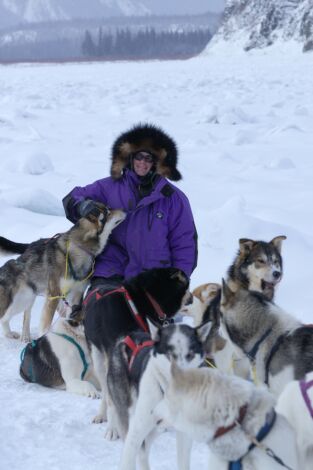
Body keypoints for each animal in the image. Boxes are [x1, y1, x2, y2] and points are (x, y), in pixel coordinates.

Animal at [0, 206, 125, 342]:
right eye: (108, 213)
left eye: (107, 209)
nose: (124, 210)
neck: (78, 249)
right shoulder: (54, 295)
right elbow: (45, 325)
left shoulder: (76, 294)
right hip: (18, 301)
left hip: (28, 297)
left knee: (25, 315)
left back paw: (20, 335)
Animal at [116, 320, 216, 470]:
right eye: (170, 355)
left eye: (190, 355)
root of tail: (131, 336)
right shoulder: (136, 431)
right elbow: (128, 459)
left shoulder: (184, 434)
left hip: (158, 427)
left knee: (144, 449)